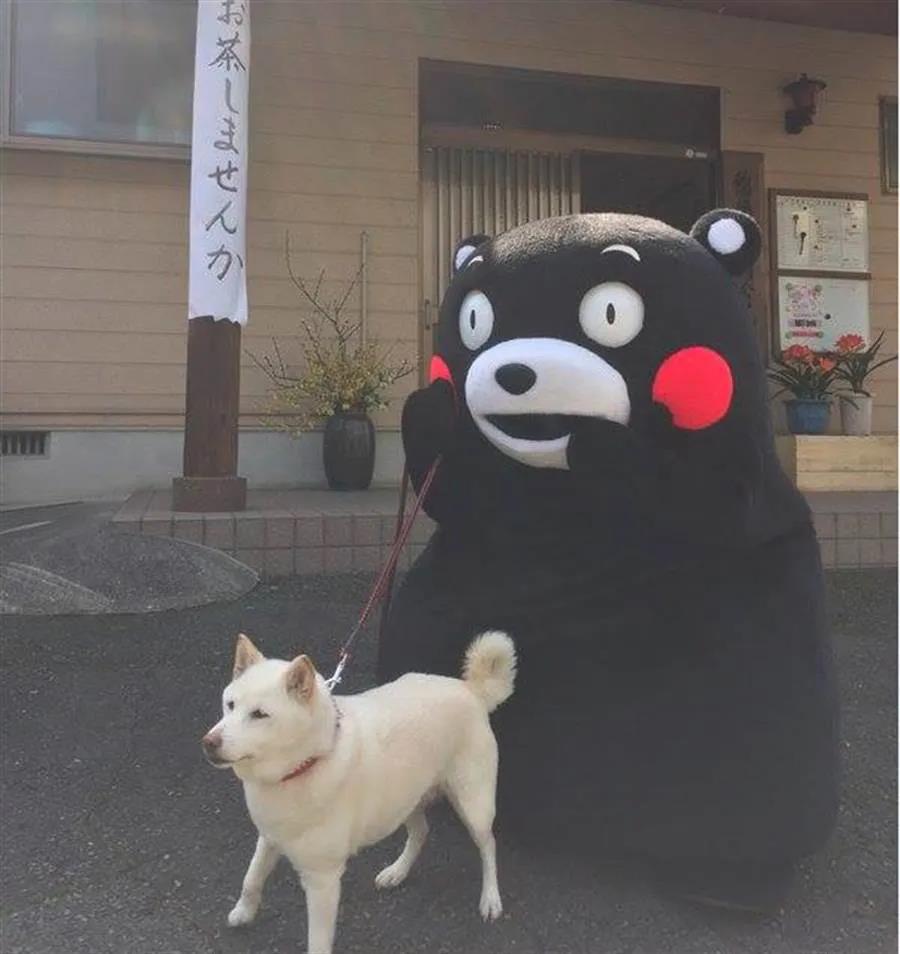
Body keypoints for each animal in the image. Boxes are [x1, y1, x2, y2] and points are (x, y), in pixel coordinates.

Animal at [201, 628, 516, 948]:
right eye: (230, 705)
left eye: (260, 715)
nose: (208, 742)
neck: (305, 765)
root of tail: (470, 689)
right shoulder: (269, 837)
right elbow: (251, 878)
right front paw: (243, 912)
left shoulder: (323, 880)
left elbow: (317, 941)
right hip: (402, 798)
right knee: (421, 831)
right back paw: (396, 872)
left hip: (473, 805)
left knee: (488, 846)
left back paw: (490, 898)